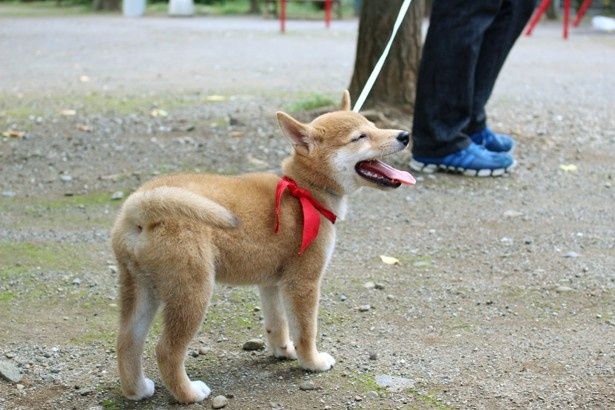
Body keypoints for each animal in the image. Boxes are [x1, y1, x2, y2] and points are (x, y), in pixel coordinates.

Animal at [112, 90, 416, 404]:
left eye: (373, 125)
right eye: (360, 137)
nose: (405, 135)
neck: (303, 190)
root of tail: (141, 207)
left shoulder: (272, 283)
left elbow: (277, 324)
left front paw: (283, 351)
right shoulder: (303, 282)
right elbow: (306, 331)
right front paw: (312, 362)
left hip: (141, 288)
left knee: (126, 341)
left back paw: (137, 390)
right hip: (192, 293)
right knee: (167, 351)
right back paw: (189, 393)